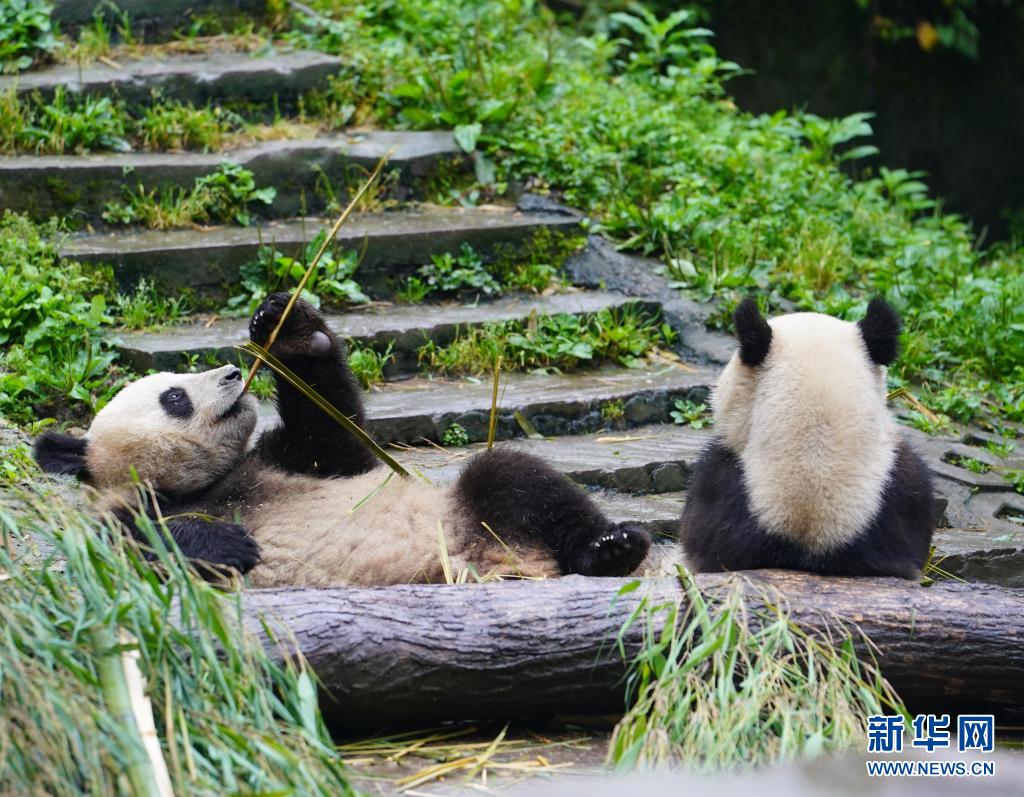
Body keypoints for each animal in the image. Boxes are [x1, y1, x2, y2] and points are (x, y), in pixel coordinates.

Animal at [39, 290, 651, 581]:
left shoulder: (286, 459)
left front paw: (288, 326)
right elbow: (127, 547)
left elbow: (335, 432)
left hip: (472, 513)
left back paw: (611, 549)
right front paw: (228, 542)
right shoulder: (120, 516)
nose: (235, 374)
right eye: (174, 397)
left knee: (516, 478)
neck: (207, 483)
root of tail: (510, 563)